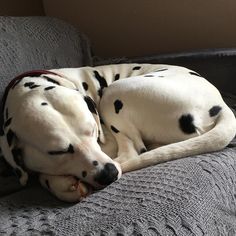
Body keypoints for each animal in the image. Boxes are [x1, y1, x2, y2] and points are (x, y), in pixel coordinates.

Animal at [1, 63, 236, 202]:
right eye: (57, 152)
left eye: (93, 130)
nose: (109, 174)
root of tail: (221, 105)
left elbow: (43, 175)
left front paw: (59, 183)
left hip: (113, 93)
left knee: (132, 152)